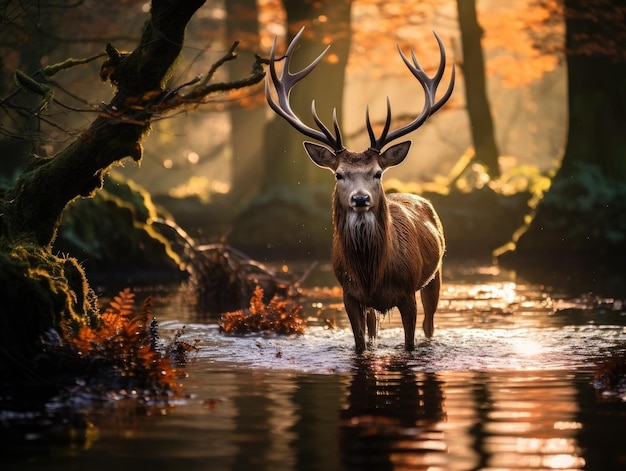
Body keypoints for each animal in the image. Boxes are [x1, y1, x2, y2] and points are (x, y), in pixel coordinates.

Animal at [264, 27, 454, 354]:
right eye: (339, 174)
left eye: (377, 172)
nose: (361, 198)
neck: (371, 275)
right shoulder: (349, 294)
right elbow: (361, 346)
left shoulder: (407, 292)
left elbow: (410, 344)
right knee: (375, 328)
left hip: (435, 275)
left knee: (430, 326)